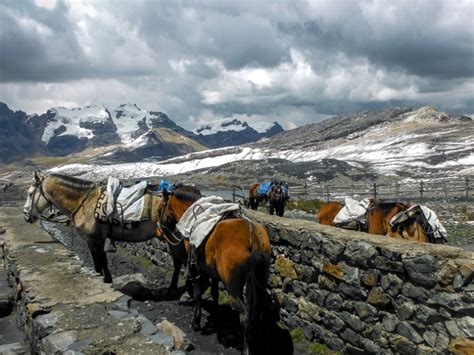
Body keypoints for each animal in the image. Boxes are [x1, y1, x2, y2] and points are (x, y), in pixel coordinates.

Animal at [22, 171, 163, 286]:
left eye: (30, 194)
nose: (26, 216)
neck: (84, 202)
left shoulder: (96, 239)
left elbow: (101, 260)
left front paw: (107, 279)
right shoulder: (92, 240)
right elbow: (98, 261)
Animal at [156, 188, 270, 354]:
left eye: (159, 209)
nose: (159, 233)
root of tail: (253, 238)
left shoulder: (196, 268)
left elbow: (197, 293)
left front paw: (196, 322)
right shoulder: (213, 272)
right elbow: (215, 293)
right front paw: (216, 315)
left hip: (233, 287)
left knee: (244, 315)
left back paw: (246, 348)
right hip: (260, 280)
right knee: (258, 310)